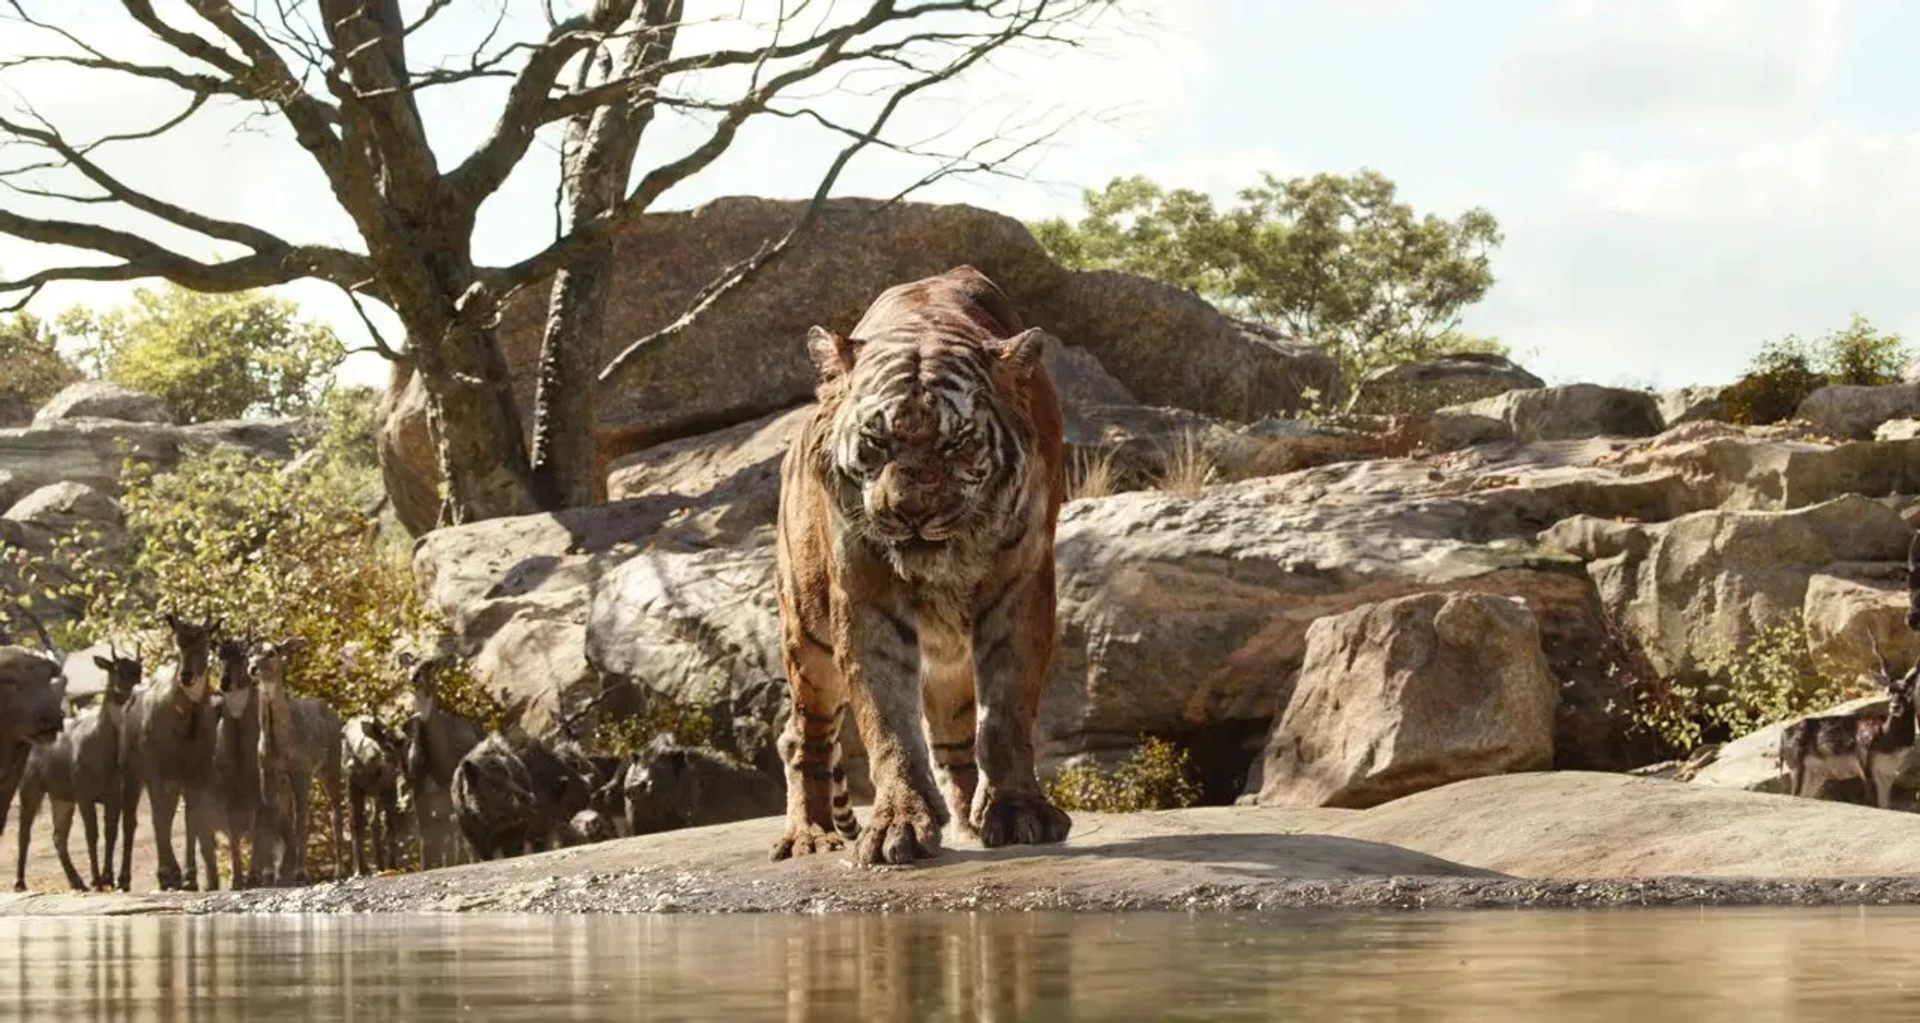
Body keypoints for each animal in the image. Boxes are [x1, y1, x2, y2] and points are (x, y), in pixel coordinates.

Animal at [768, 262, 1075, 859]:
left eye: (956, 443)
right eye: (876, 441)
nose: (909, 512)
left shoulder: (1021, 587)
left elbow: (1004, 716)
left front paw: (1017, 811)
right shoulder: (865, 596)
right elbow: (888, 722)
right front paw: (899, 823)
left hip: (946, 659)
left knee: (953, 736)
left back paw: (971, 819)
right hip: (808, 634)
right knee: (801, 735)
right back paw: (811, 834)